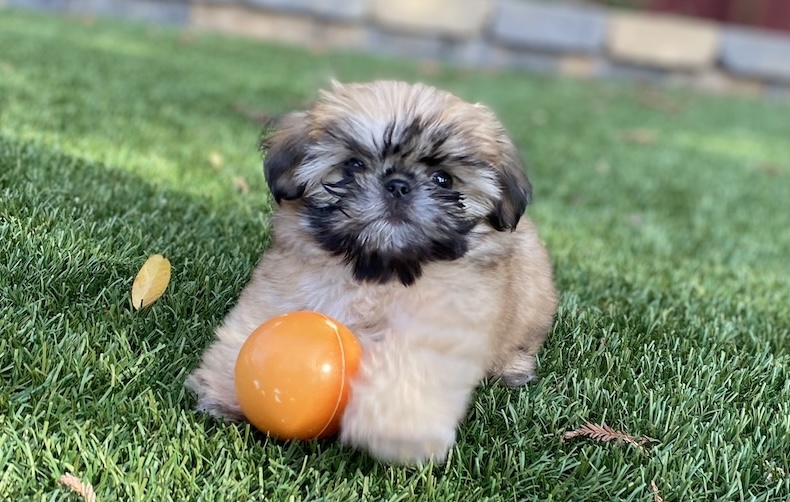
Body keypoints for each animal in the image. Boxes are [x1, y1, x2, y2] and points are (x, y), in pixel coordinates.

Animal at [187, 80, 556, 464]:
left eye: (443, 179)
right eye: (354, 164)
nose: (398, 184)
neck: (378, 270)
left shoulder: (445, 317)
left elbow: (412, 365)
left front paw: (394, 429)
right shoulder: (281, 286)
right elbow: (252, 323)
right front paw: (224, 388)